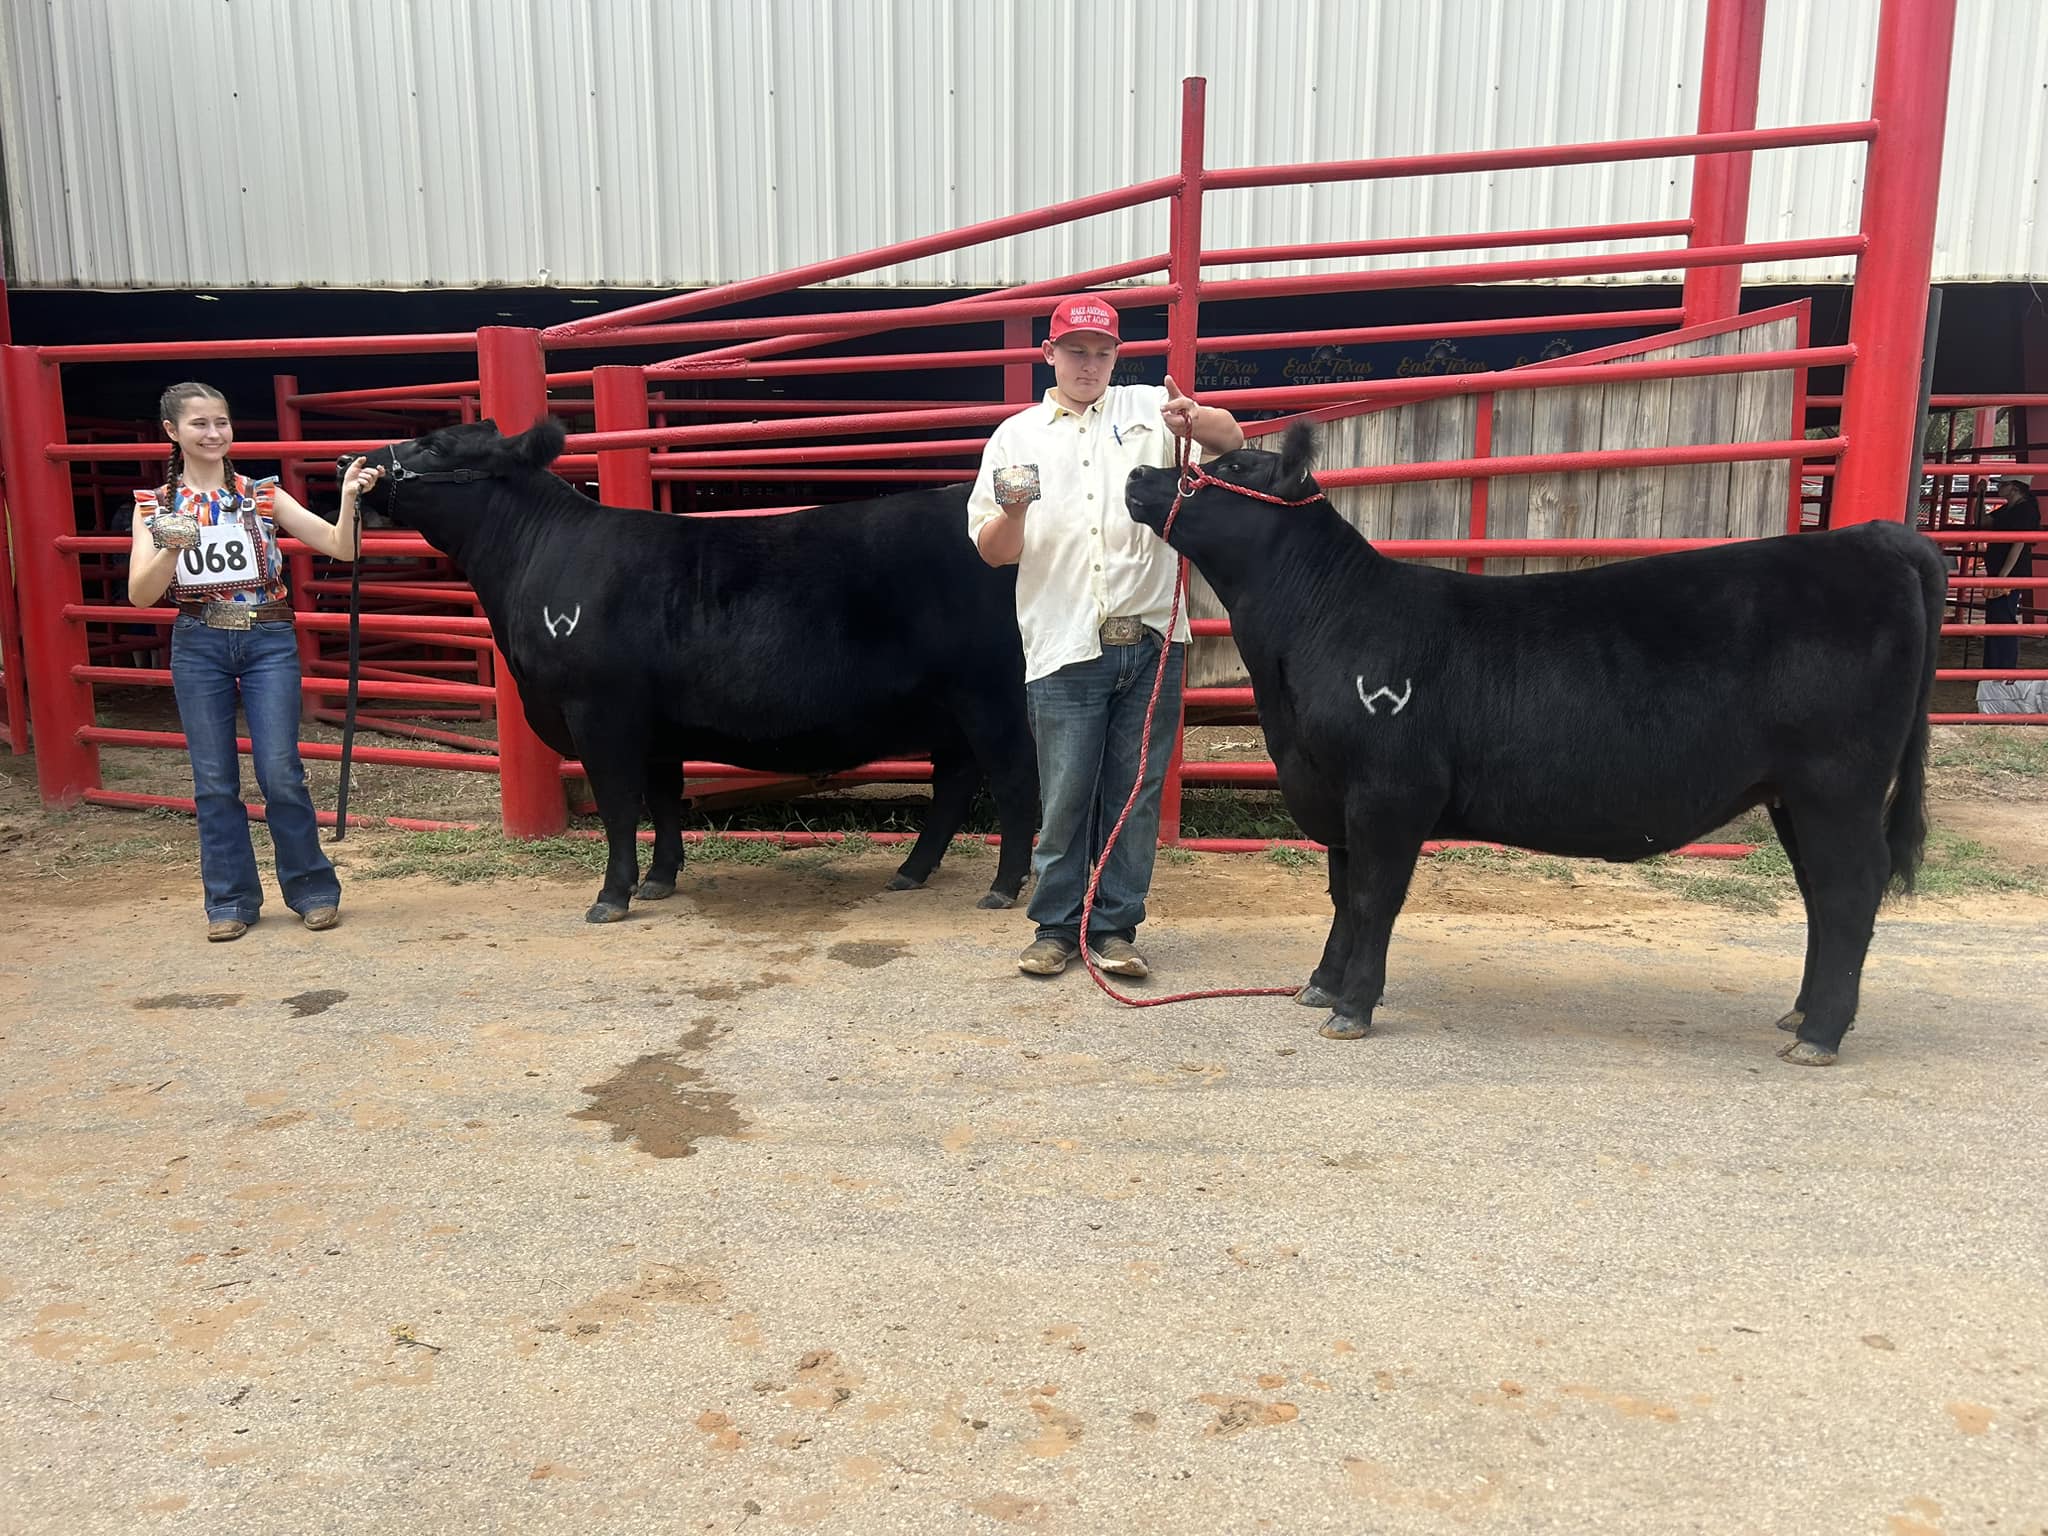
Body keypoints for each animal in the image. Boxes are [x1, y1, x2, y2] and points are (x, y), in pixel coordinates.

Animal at [356, 418, 1038, 922]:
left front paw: (612, 896)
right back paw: (911, 872)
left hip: (992, 696)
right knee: (955, 783)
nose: (348, 463)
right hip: (952, 708)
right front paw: (659, 880)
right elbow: (663, 800)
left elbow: (618, 805)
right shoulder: (656, 726)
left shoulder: (599, 710)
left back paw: (1003, 887)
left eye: (436, 445)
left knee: (1012, 783)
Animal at [1125, 425, 1946, 1066]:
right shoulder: (1330, 788)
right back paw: (1801, 1013)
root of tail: (1873, 536)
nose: (1138, 476)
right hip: (1792, 794)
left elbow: (1374, 896)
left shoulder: (1391, 792)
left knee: (1849, 889)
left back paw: (1822, 1034)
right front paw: (1320, 985)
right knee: (1819, 893)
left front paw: (1352, 1007)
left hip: (1837, 783)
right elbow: (1341, 894)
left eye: (1232, 469)